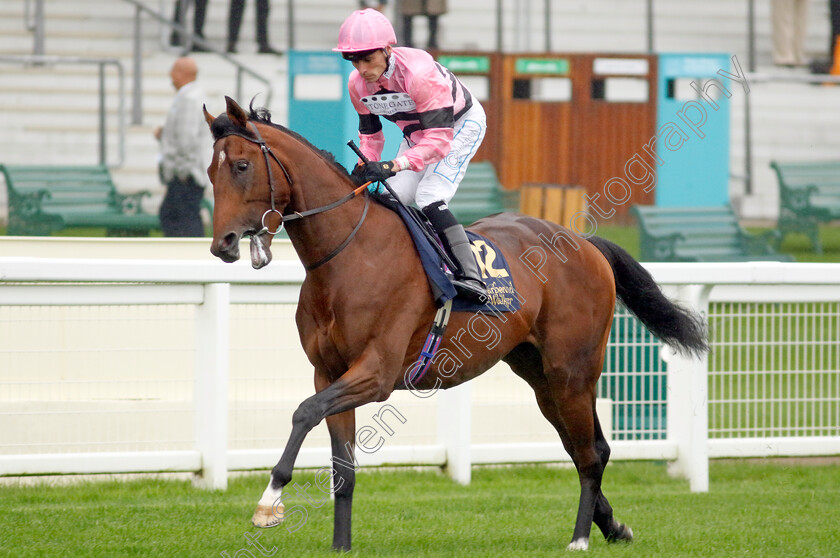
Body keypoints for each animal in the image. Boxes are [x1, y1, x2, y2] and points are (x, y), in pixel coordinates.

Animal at [203, 97, 708, 556]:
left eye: (243, 165)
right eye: (210, 171)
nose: (222, 244)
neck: (348, 256)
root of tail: (582, 241)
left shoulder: (376, 373)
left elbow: (304, 412)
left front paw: (269, 502)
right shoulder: (328, 372)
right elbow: (341, 468)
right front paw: (340, 546)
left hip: (573, 370)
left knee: (590, 453)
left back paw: (581, 537)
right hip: (540, 376)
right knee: (584, 446)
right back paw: (613, 527)